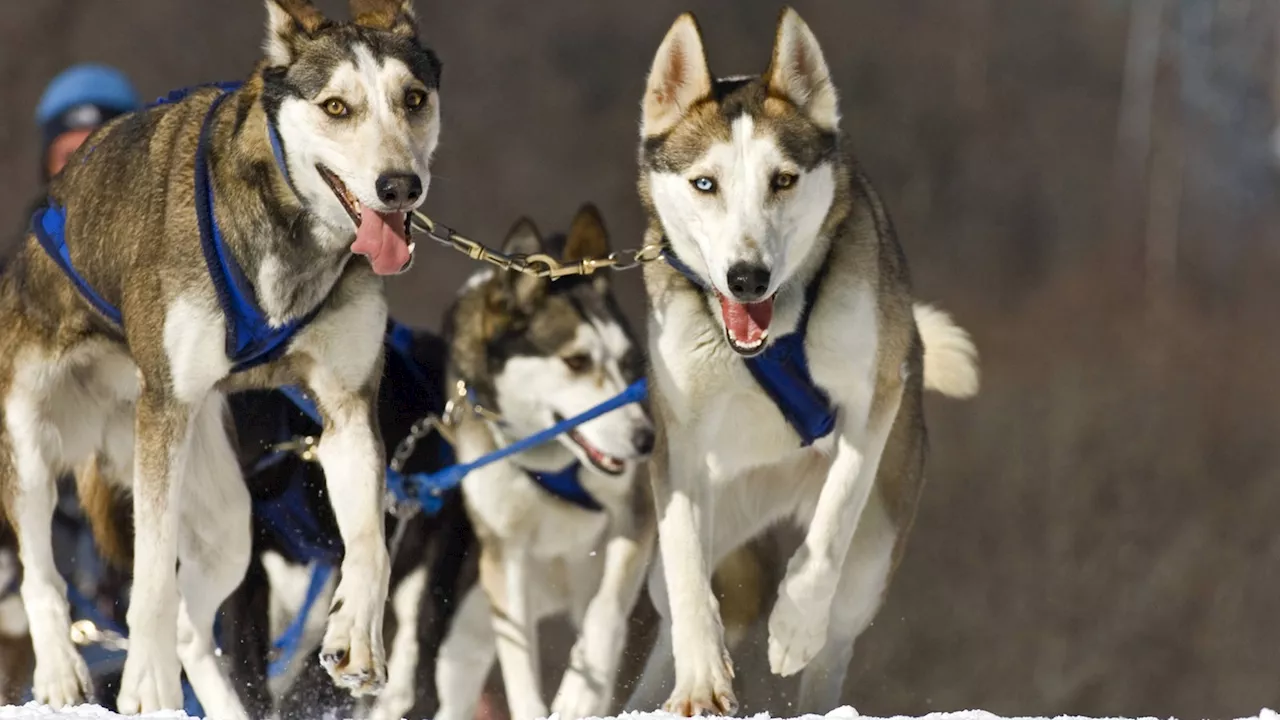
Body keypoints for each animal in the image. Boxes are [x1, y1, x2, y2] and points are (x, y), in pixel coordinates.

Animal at [0, 1, 440, 712]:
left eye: (414, 98)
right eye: (336, 106)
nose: (399, 186)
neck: (289, 235)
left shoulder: (347, 408)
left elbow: (371, 547)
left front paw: (356, 635)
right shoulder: (166, 410)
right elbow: (151, 575)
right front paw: (145, 686)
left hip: (228, 515)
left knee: (190, 624)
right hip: (36, 441)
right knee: (43, 574)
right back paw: (62, 674)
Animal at [435, 203, 660, 720]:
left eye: (627, 361)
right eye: (576, 361)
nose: (645, 440)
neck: (551, 461)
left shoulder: (635, 513)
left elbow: (605, 612)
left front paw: (579, 695)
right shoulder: (505, 553)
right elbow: (518, 663)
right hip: (468, 628)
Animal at [627, 8, 977, 712]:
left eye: (783, 179)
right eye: (705, 183)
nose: (747, 277)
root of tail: (780, 488)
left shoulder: (872, 398)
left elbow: (833, 521)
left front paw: (793, 624)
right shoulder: (679, 438)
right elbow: (686, 570)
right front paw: (701, 679)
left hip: (876, 548)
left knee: (838, 628)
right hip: (723, 511)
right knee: (675, 600)